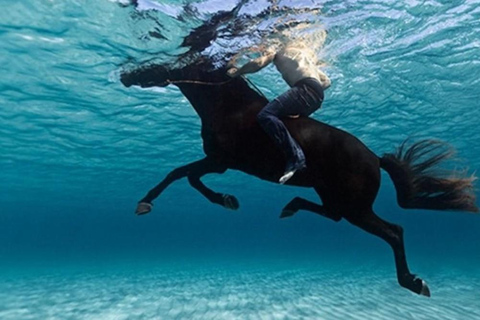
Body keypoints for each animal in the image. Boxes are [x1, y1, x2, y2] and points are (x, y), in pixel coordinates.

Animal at [120, 58, 476, 296]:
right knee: (333, 215)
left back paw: (413, 282)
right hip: (334, 196)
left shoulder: (220, 161)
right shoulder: (219, 163)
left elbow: (180, 174)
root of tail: (375, 158)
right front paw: (227, 199)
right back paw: (289, 206)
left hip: (356, 207)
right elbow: (187, 177)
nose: (125, 75)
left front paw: (146, 203)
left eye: (161, 64)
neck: (229, 107)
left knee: (393, 231)